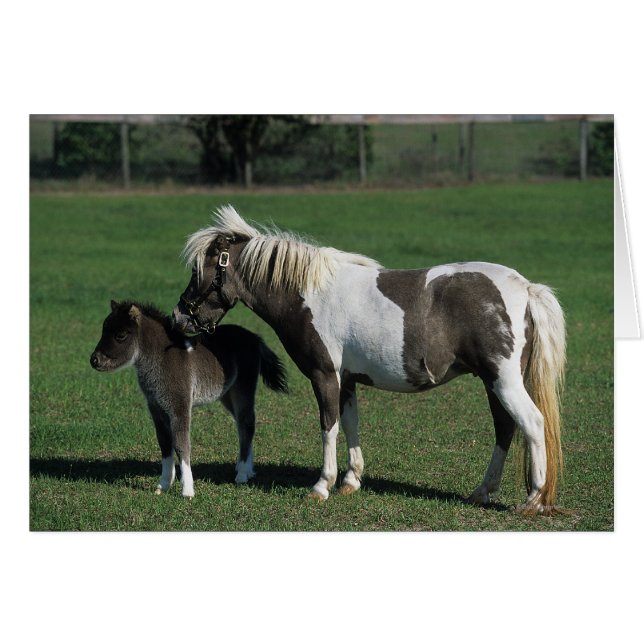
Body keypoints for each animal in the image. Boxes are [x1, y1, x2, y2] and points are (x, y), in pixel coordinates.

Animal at [90, 300, 288, 497]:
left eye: (121, 335)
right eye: (103, 329)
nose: (94, 360)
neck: (162, 358)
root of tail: (254, 337)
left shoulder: (180, 406)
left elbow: (181, 444)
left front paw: (187, 490)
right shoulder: (156, 409)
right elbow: (164, 444)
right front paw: (163, 485)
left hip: (243, 388)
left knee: (247, 423)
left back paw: (242, 474)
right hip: (227, 394)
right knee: (242, 424)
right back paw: (245, 469)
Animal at [172, 206, 566, 512]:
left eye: (199, 271)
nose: (179, 317)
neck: (308, 294)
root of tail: (525, 288)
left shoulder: (325, 375)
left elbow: (328, 426)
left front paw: (321, 486)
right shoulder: (346, 380)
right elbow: (350, 425)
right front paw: (350, 481)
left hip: (504, 381)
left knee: (532, 424)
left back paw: (533, 499)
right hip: (492, 381)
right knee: (505, 428)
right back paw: (482, 492)